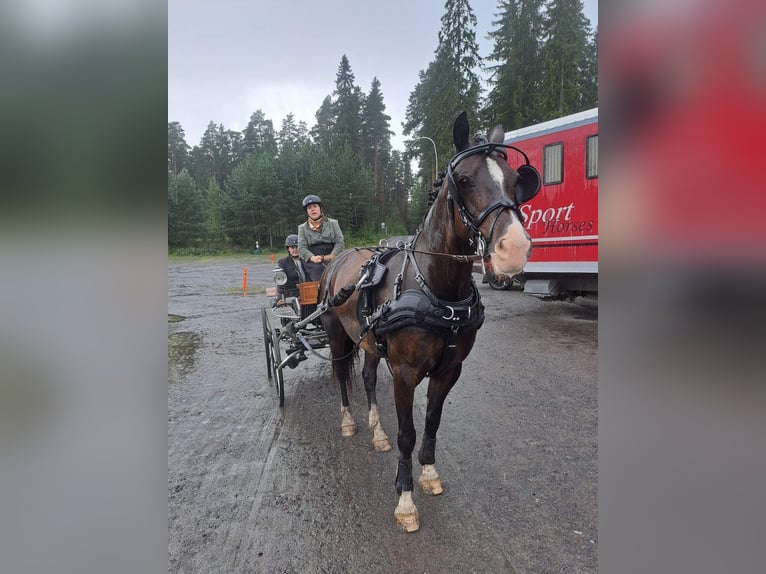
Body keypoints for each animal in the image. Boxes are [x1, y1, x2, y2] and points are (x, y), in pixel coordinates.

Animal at [316, 112, 540, 536]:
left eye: (514, 180)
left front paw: (429, 473)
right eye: (464, 179)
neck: (436, 290)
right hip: (337, 335)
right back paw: (350, 422)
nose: (515, 249)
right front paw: (405, 500)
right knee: (341, 376)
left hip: (370, 341)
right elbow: (408, 433)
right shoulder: (405, 373)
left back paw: (376, 431)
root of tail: (341, 258)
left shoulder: (449, 369)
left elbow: (433, 422)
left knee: (367, 377)